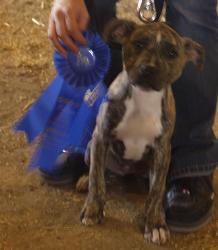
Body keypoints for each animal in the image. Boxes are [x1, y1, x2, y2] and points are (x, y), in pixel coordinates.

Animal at [80, 19, 204, 244]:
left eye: (172, 52)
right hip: (89, 147)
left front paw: (155, 225)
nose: (149, 69)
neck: (144, 97)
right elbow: (96, 178)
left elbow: (155, 193)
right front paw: (93, 209)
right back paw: (85, 179)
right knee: (98, 169)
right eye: (138, 44)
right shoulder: (101, 137)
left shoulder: (162, 151)